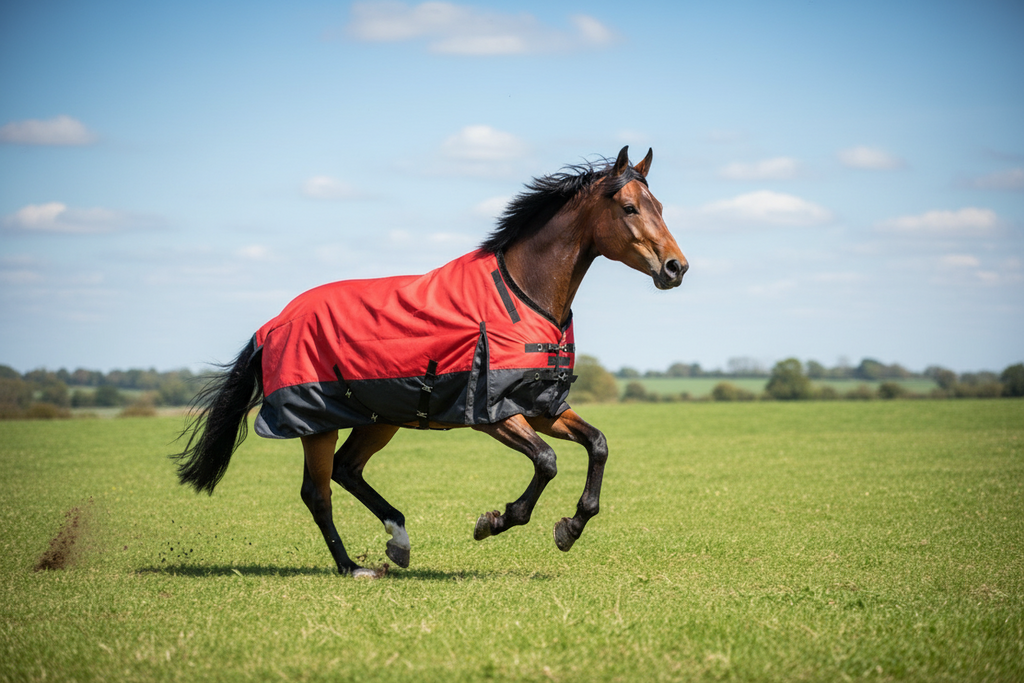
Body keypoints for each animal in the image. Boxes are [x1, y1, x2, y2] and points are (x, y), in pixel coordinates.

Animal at [173, 146, 687, 578]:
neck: (525, 293)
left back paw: (397, 540)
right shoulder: (492, 412)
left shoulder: (542, 406)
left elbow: (597, 444)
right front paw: (496, 520)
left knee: (346, 470)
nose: (675, 268)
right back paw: (352, 568)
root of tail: (274, 323)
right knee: (318, 493)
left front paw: (571, 527)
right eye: (629, 208)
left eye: (660, 207)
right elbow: (546, 461)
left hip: (379, 419)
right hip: (316, 423)